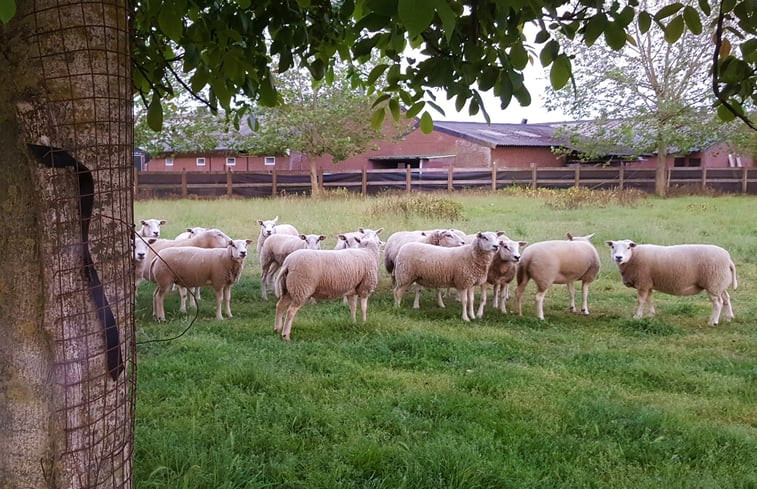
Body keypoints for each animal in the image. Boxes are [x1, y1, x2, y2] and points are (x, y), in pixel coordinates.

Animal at [604, 239, 736, 326]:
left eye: (628, 247)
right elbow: (650, 299)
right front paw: (651, 314)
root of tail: (729, 259)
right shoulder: (648, 283)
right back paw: (729, 318)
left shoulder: (643, 283)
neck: (633, 257)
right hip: (720, 283)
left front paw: (637, 316)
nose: (618, 257)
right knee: (726, 298)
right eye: (613, 247)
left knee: (717, 303)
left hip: (713, 283)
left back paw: (713, 321)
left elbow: (640, 301)